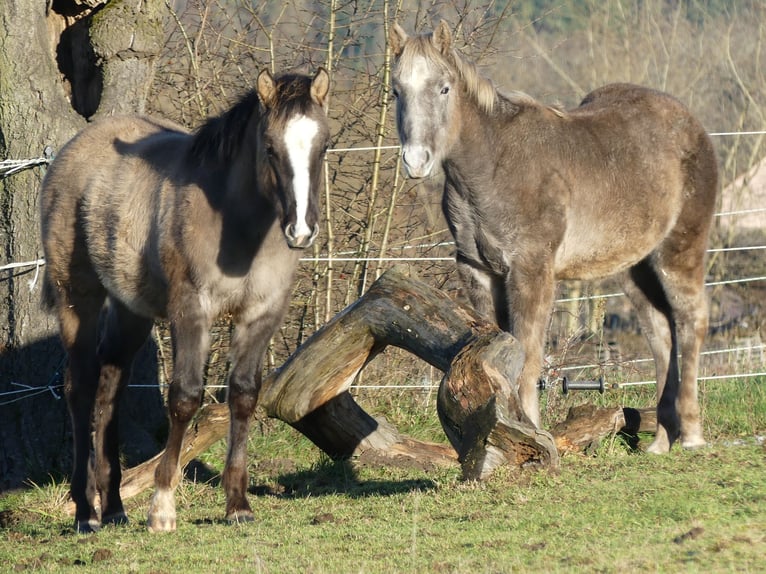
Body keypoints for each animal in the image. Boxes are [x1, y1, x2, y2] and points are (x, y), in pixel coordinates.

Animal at [42, 68, 330, 536]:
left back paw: (115, 508)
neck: (239, 227)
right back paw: (86, 513)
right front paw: (162, 507)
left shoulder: (262, 314)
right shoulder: (191, 310)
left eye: (325, 145)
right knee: (80, 386)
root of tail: (73, 149)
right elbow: (184, 397)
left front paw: (238, 505)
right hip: (77, 297)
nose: (301, 230)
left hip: (131, 310)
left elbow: (244, 395)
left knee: (110, 387)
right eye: (270, 147)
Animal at [392, 21, 724, 454]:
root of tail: (692, 123)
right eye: (396, 90)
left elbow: (529, 355)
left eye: (444, 88)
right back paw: (661, 440)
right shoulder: (478, 271)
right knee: (660, 332)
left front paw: (533, 431)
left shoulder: (531, 271)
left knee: (690, 321)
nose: (416, 161)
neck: (494, 166)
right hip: (635, 267)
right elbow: (494, 354)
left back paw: (692, 434)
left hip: (679, 250)